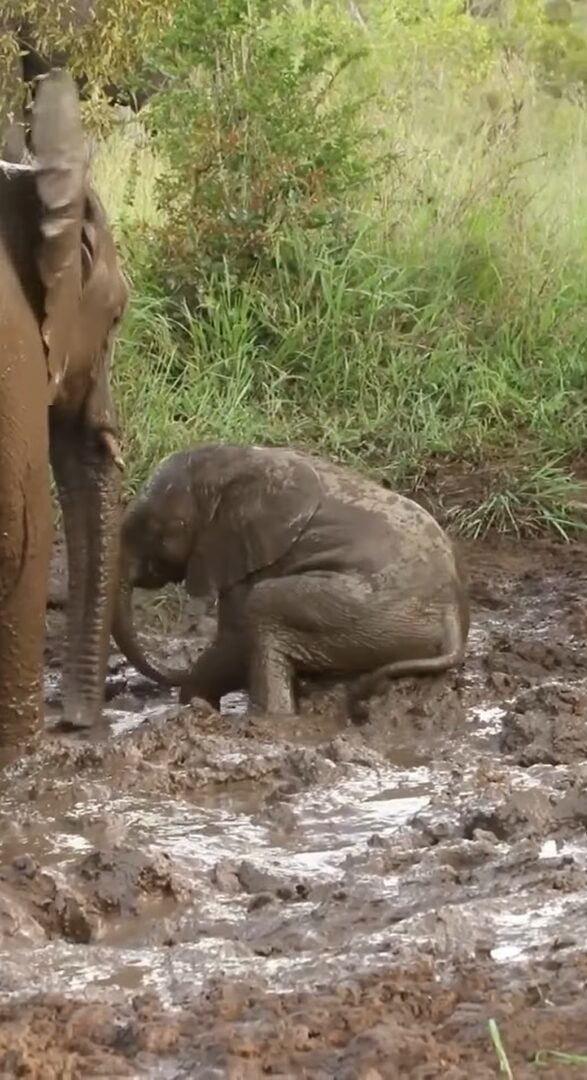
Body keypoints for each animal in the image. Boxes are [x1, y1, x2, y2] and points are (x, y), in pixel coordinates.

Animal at [110, 442, 470, 721]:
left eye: (152, 528)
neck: (232, 461)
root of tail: (452, 616)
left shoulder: (248, 555)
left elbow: (235, 637)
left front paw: (194, 702)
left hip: (361, 610)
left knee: (264, 605)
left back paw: (269, 718)